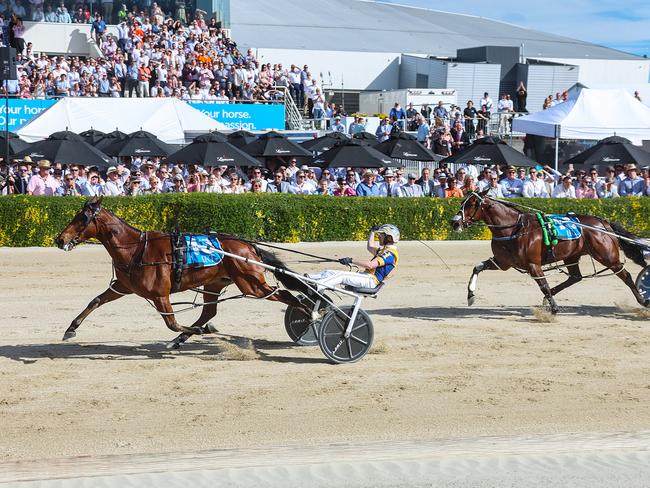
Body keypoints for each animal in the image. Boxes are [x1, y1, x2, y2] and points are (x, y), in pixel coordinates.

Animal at [55, 196, 308, 348]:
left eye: (82, 218)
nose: (60, 240)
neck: (137, 249)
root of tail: (248, 246)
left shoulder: (160, 294)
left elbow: (171, 323)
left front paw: (195, 332)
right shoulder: (123, 286)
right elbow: (96, 301)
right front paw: (71, 329)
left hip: (251, 283)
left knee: (285, 295)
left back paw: (310, 315)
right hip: (215, 283)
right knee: (209, 311)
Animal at [450, 191, 648, 312]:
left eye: (472, 203)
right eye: (462, 202)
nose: (454, 222)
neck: (514, 228)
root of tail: (603, 222)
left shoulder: (533, 264)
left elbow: (543, 284)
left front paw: (554, 308)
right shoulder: (502, 262)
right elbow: (477, 267)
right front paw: (470, 295)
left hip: (608, 257)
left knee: (626, 276)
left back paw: (643, 300)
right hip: (572, 256)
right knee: (575, 277)